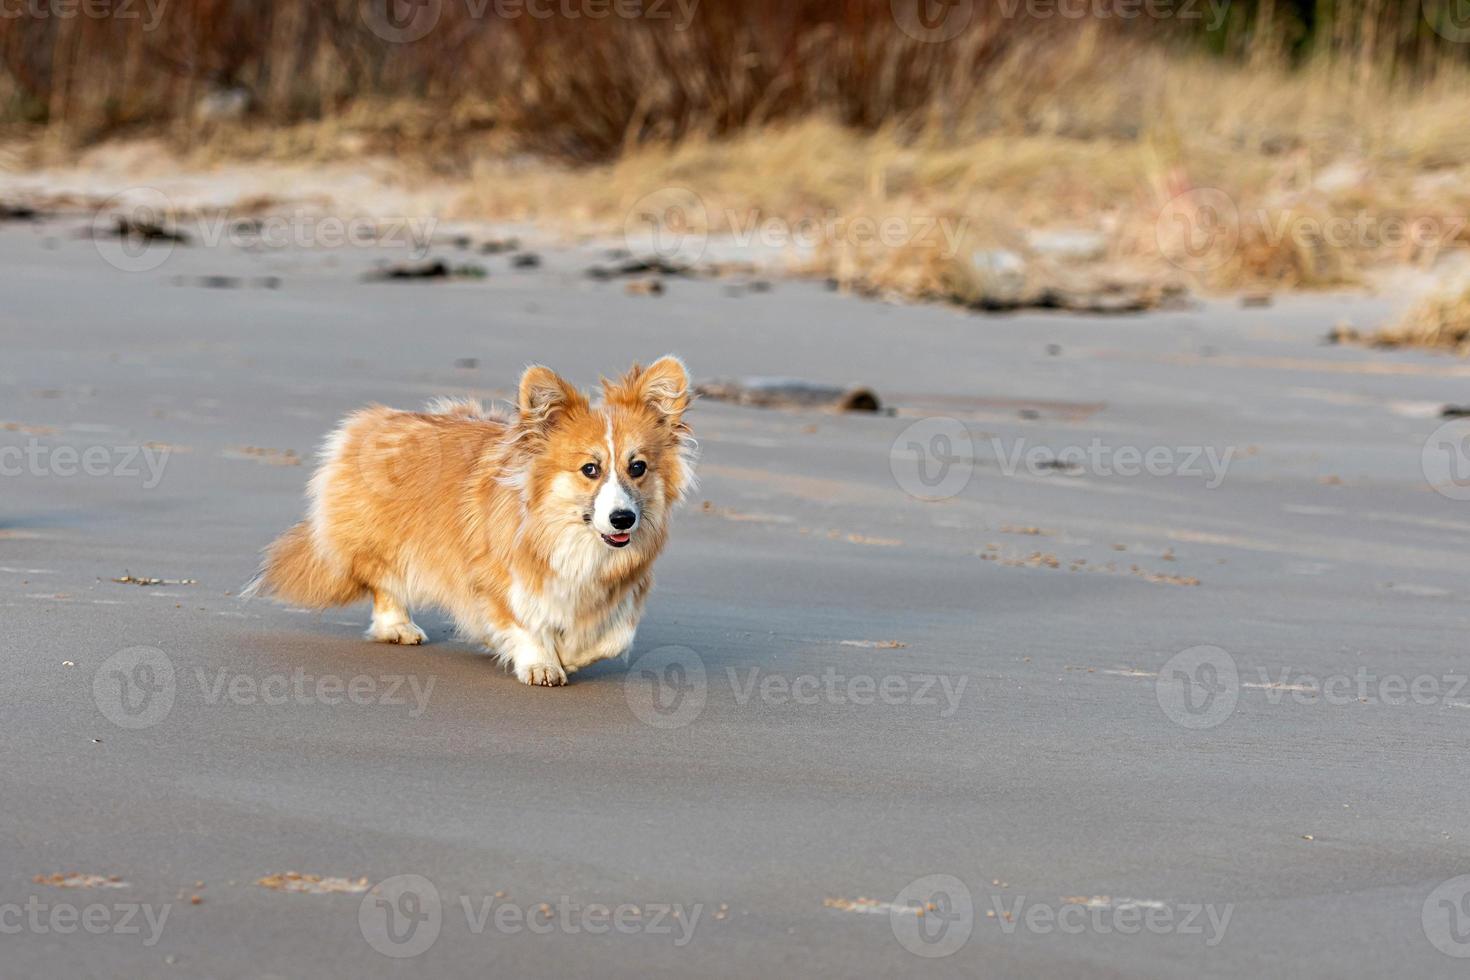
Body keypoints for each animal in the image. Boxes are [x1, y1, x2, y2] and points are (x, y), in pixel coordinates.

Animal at [246, 357, 693, 687]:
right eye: (590, 469)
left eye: (638, 467)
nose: (623, 519)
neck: (570, 536)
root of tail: (372, 422)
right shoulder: (495, 576)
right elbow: (524, 621)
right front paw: (542, 662)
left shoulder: (620, 590)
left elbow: (613, 638)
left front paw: (568, 655)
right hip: (386, 541)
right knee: (383, 581)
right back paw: (398, 627)